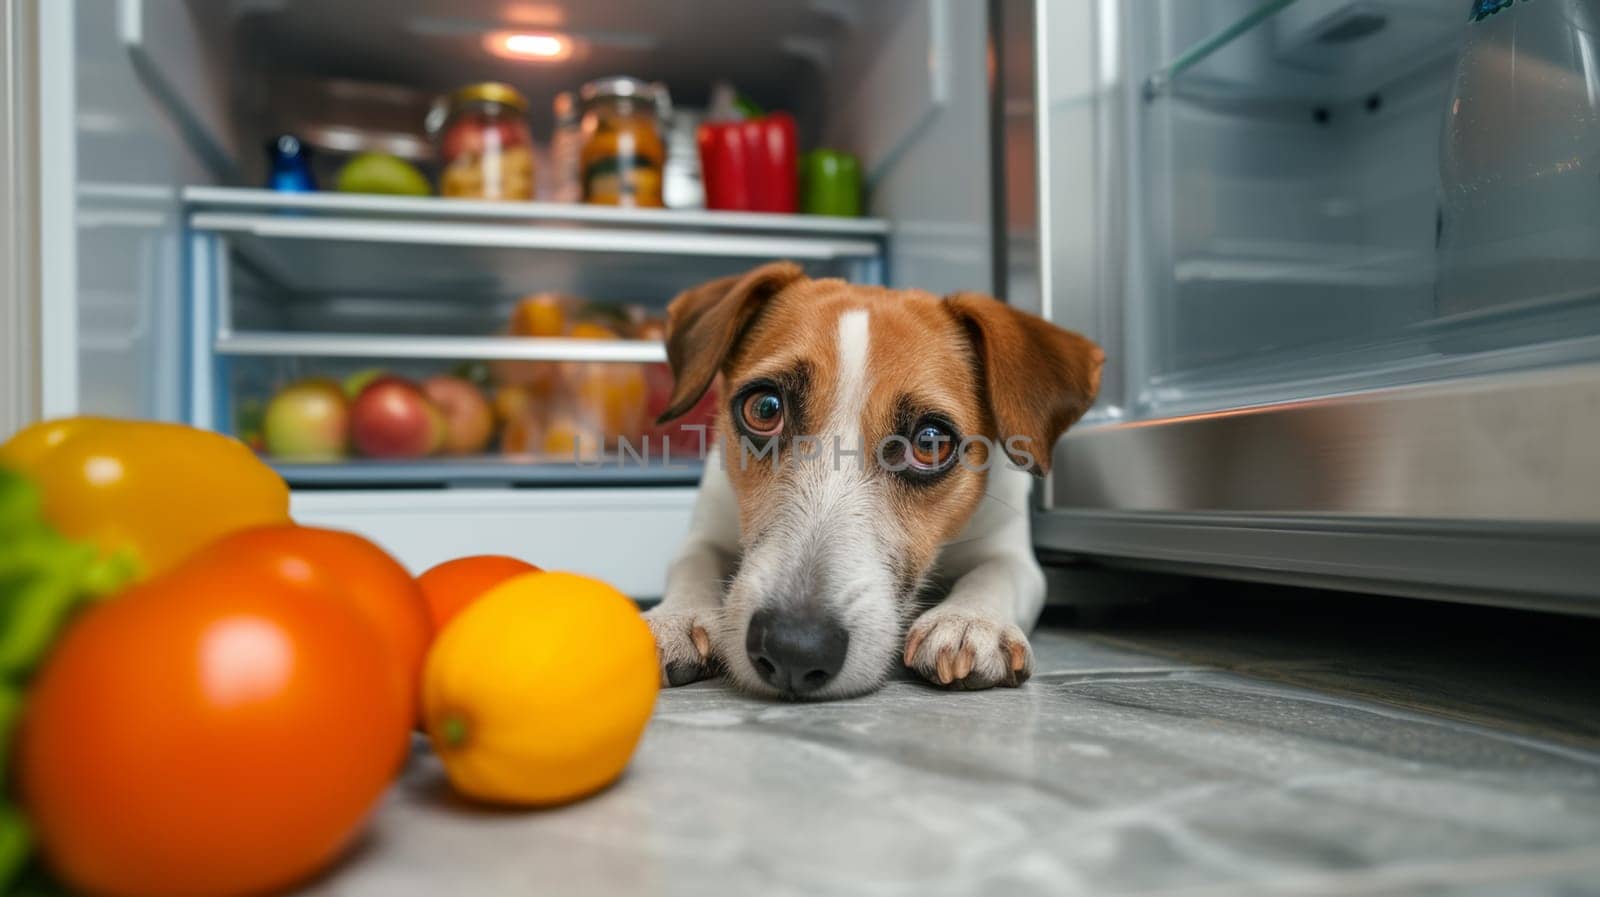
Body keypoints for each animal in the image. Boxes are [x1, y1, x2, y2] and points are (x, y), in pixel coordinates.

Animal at [643, 262, 1107, 703]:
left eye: (929, 441)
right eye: (765, 408)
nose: (794, 647)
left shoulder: (1010, 549)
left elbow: (998, 573)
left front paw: (970, 621)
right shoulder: (709, 527)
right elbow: (692, 561)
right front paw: (675, 616)